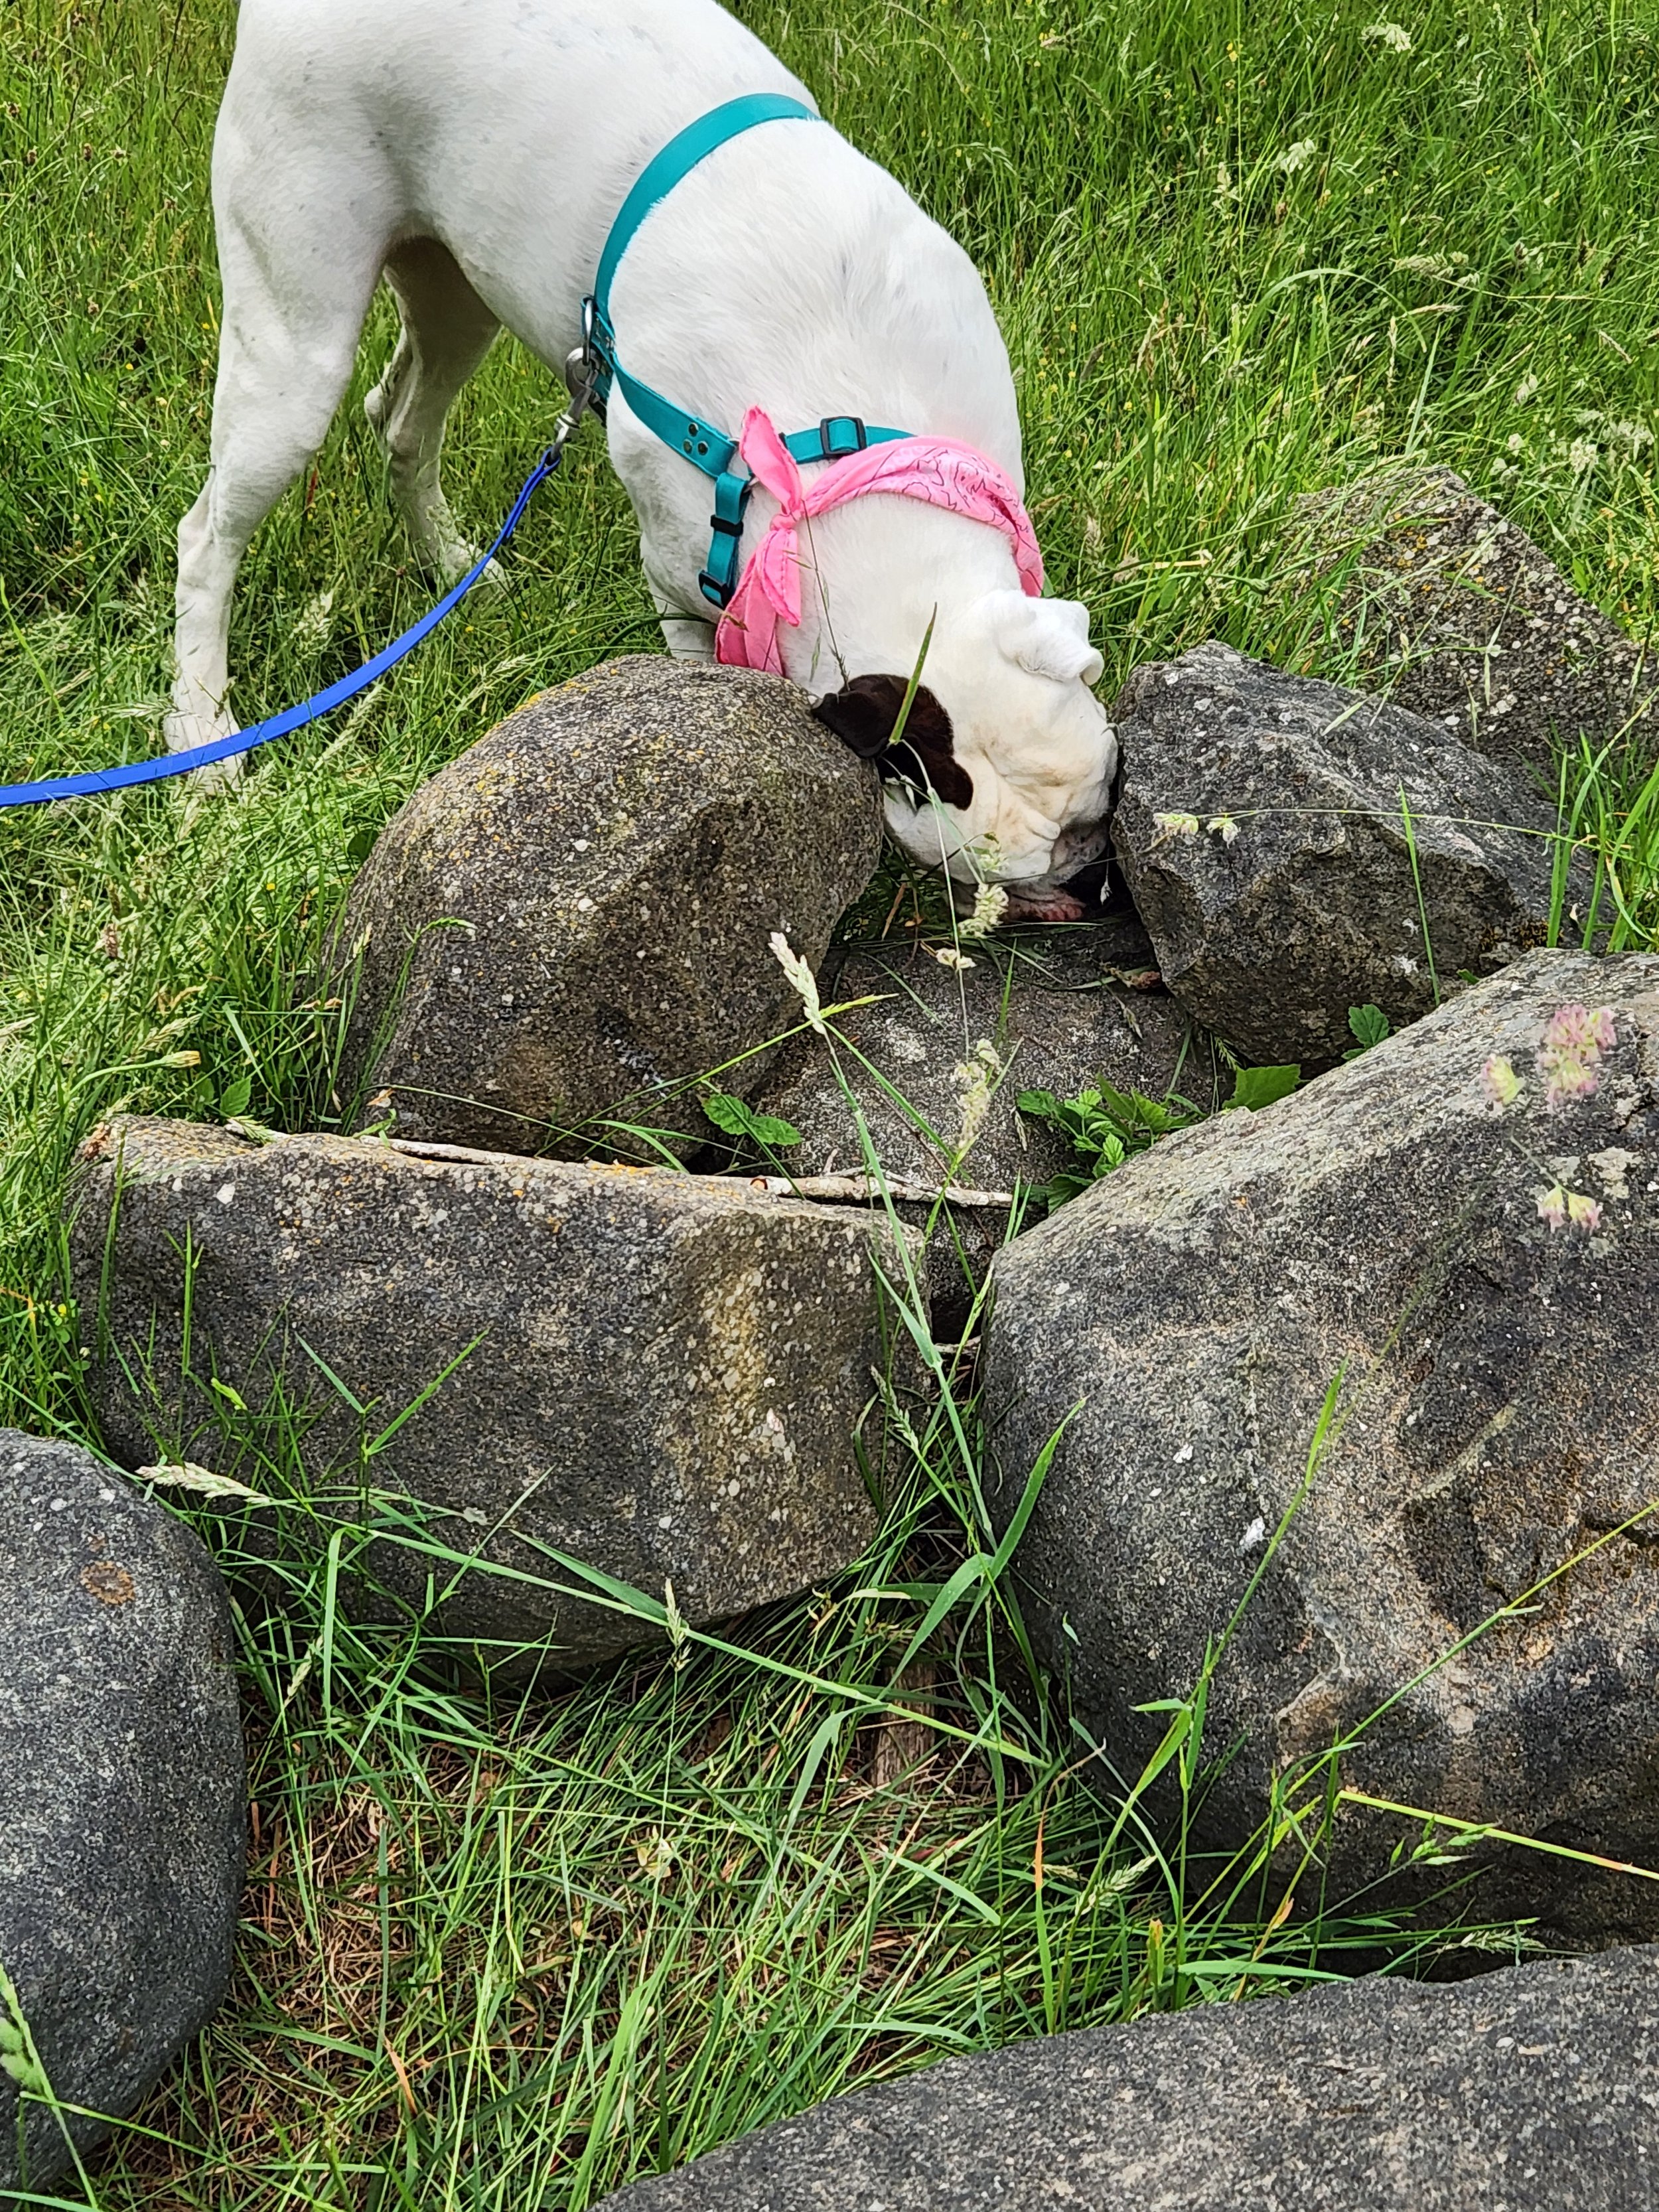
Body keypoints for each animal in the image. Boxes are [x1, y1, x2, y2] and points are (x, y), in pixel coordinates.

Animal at [172, 0, 1116, 920]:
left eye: (1099, 806)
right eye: (1002, 886)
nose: (1089, 881)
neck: (839, 468)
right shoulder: (681, 582)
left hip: (457, 301)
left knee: (402, 422)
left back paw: (453, 564)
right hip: (294, 354)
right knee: (207, 539)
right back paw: (204, 732)